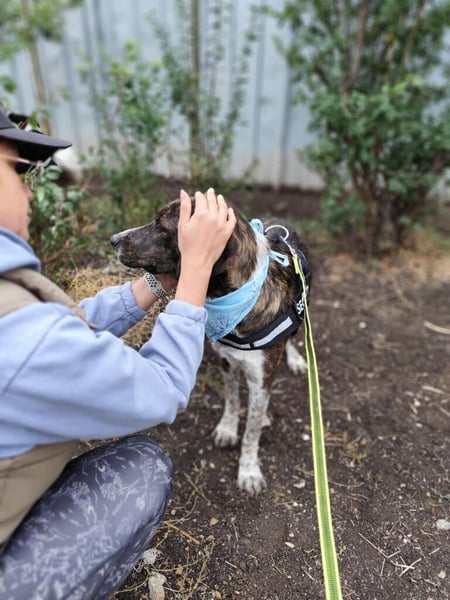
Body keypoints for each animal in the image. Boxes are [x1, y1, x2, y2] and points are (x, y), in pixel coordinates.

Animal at [111, 198, 312, 494]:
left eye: (161, 225)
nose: (113, 240)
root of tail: (278, 221)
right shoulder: (227, 361)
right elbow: (232, 399)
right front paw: (228, 429)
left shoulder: (261, 378)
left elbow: (251, 431)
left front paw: (249, 470)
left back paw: (294, 359)